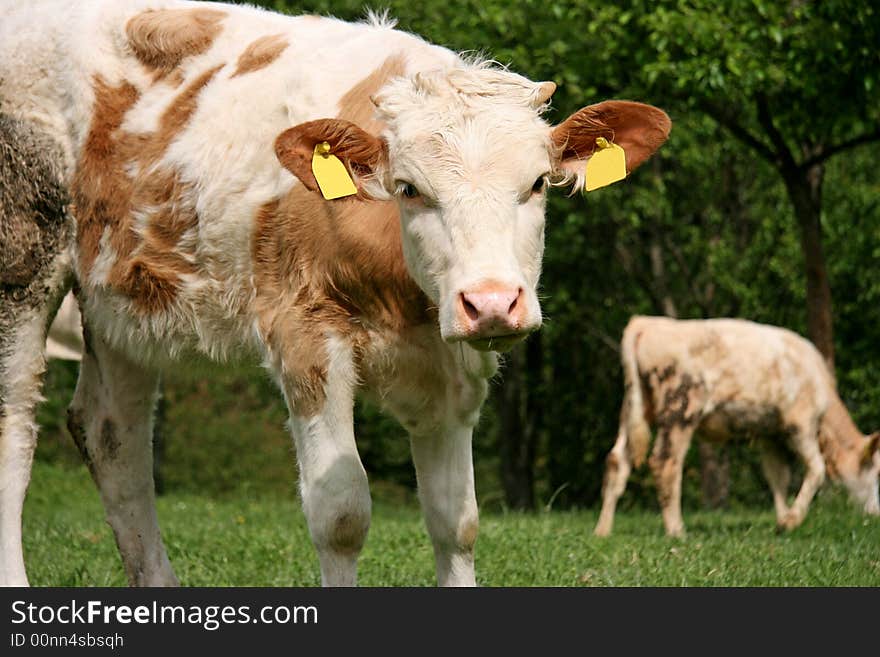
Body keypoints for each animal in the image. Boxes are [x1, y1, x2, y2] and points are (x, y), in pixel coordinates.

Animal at [0, 0, 672, 584]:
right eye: (409, 188)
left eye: (536, 183)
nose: (490, 303)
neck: (407, 305)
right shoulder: (305, 335)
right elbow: (341, 515)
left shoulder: (453, 371)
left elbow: (456, 522)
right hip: (21, 260)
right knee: (14, 429)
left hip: (120, 299)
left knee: (113, 437)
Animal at [592, 316, 880, 536]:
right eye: (876, 473)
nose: (876, 514)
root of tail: (646, 323)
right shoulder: (799, 423)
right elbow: (817, 469)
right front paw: (792, 519)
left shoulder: (769, 434)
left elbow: (777, 476)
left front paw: (781, 520)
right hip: (680, 408)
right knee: (666, 463)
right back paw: (676, 530)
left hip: (634, 408)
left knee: (617, 461)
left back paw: (603, 531)